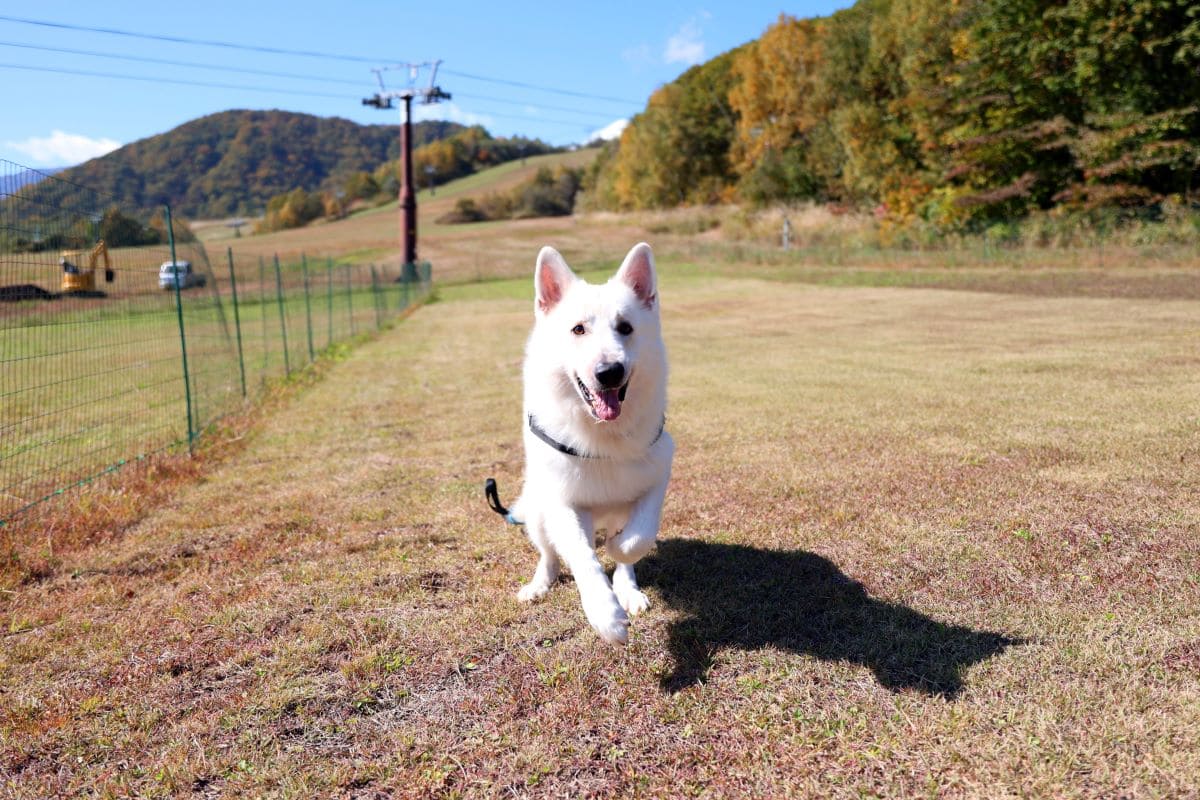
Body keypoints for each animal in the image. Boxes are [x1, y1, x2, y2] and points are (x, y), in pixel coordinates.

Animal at [489, 242, 676, 642]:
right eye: (578, 330)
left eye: (625, 328)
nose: (609, 372)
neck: (603, 434)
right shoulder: (563, 503)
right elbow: (582, 557)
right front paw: (605, 614)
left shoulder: (658, 472)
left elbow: (637, 538)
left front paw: (620, 556)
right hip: (538, 511)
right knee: (550, 555)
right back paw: (540, 584)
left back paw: (628, 587)